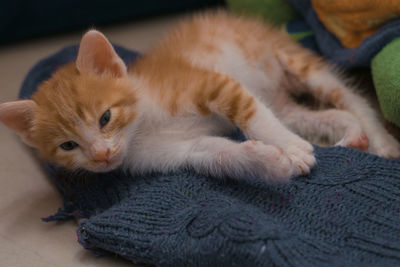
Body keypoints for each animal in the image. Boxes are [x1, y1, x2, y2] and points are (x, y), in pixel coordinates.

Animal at [0, 13, 400, 184]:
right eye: (68, 146)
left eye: (105, 118)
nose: (101, 156)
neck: (141, 128)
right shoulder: (177, 152)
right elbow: (218, 154)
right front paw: (270, 160)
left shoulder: (212, 84)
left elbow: (252, 115)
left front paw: (294, 148)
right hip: (284, 105)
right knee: (308, 114)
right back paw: (351, 134)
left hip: (293, 61)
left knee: (350, 98)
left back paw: (380, 140)